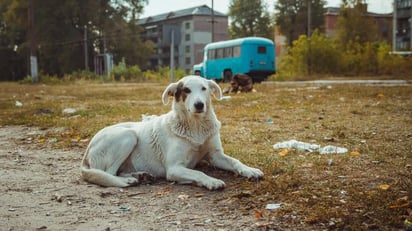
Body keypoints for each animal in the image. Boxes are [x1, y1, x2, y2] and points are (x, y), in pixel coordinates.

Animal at [80, 75, 264, 189]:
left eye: (204, 88)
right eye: (186, 90)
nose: (199, 105)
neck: (196, 126)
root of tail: (87, 151)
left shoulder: (215, 155)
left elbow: (235, 161)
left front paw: (250, 170)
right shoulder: (175, 168)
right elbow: (198, 172)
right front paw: (211, 181)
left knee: (119, 170)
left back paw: (141, 175)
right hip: (128, 136)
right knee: (109, 173)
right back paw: (128, 180)